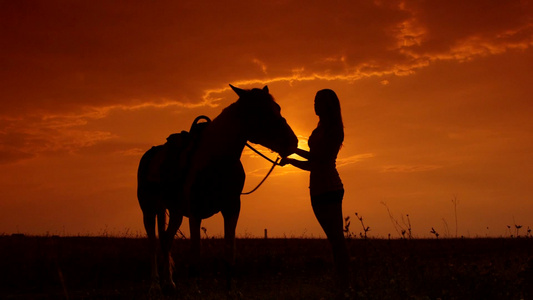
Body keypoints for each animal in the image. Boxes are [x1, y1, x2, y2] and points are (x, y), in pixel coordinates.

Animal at [135, 84, 298, 292]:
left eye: (277, 108)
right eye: (260, 111)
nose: (292, 142)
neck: (216, 160)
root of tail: (151, 154)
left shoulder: (232, 209)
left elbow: (230, 248)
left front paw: (232, 289)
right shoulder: (195, 212)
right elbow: (196, 250)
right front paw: (195, 288)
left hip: (175, 212)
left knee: (166, 240)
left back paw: (169, 283)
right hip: (149, 210)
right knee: (153, 243)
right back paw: (155, 284)